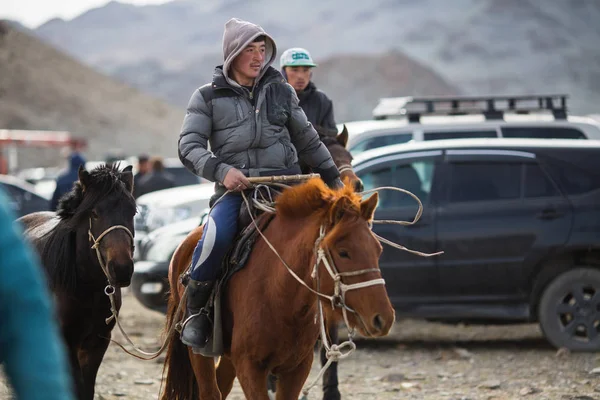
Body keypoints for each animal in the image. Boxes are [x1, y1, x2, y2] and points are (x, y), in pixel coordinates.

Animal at [18, 164, 137, 398]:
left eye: (133, 212)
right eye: (94, 213)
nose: (121, 269)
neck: (86, 286)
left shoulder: (97, 343)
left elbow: (87, 389)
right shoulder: (66, 342)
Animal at [161, 179, 394, 400]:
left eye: (378, 249)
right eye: (343, 252)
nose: (383, 318)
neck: (280, 295)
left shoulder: (297, 368)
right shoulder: (250, 367)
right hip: (199, 351)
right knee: (210, 391)